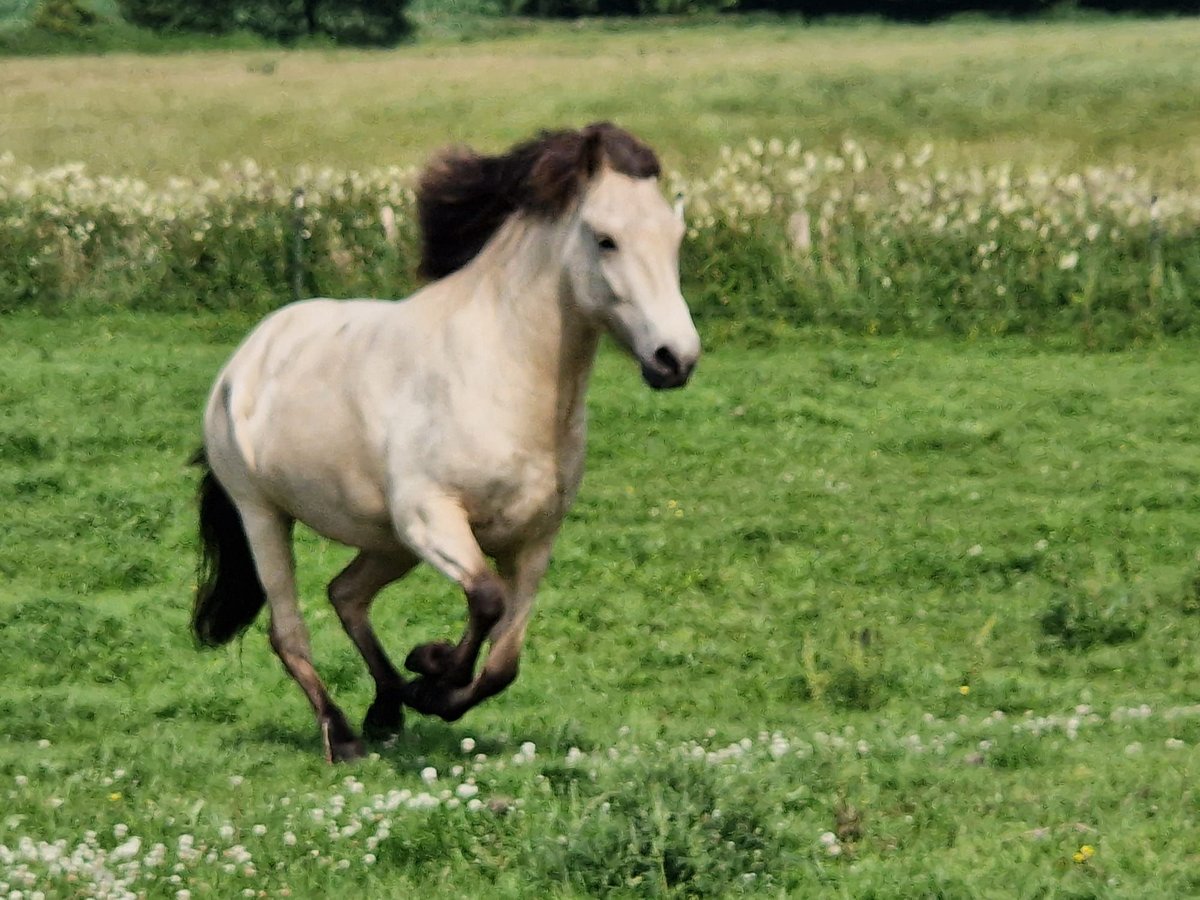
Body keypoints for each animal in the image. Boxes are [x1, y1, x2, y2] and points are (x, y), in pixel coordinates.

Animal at [194, 123, 700, 763]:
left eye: (676, 238)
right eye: (605, 239)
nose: (675, 358)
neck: (501, 373)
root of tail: (243, 362)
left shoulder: (533, 541)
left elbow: (505, 659)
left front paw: (429, 685)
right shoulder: (432, 518)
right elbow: (486, 600)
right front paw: (431, 671)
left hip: (387, 540)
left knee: (346, 595)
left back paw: (386, 709)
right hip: (265, 516)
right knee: (289, 631)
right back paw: (345, 734)